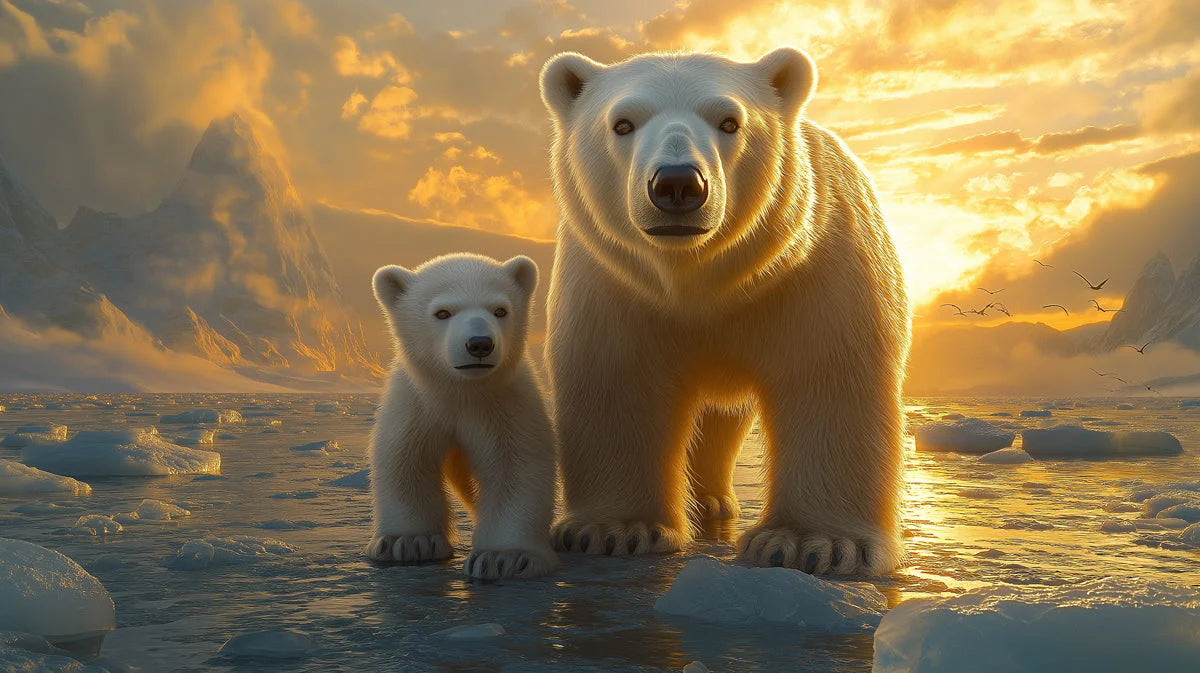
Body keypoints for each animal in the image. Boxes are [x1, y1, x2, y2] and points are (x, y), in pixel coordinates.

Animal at [366, 253, 559, 580]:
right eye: (442, 312)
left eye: (500, 310)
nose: (480, 343)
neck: (462, 393)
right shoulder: (418, 405)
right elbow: (405, 459)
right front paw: (408, 541)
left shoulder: (503, 406)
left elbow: (516, 468)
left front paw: (504, 557)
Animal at [538, 47, 910, 575]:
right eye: (623, 123)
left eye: (730, 122)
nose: (677, 184)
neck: (699, 281)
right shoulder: (611, 285)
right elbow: (617, 379)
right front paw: (615, 530)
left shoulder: (819, 268)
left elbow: (829, 377)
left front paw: (813, 543)